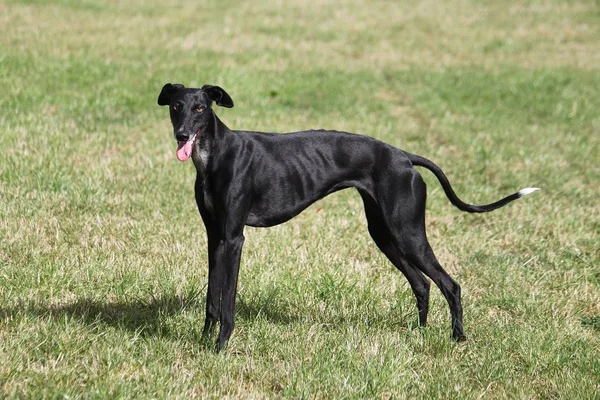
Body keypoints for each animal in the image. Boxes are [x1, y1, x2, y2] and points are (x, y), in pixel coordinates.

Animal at [157, 83, 536, 350]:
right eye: (176, 106)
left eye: (200, 107)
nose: (181, 135)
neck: (216, 155)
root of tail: (404, 156)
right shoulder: (215, 237)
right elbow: (212, 299)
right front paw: (203, 342)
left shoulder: (234, 238)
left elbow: (227, 301)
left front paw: (220, 346)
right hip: (385, 234)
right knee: (422, 283)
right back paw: (420, 332)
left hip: (407, 232)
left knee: (449, 284)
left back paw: (457, 338)